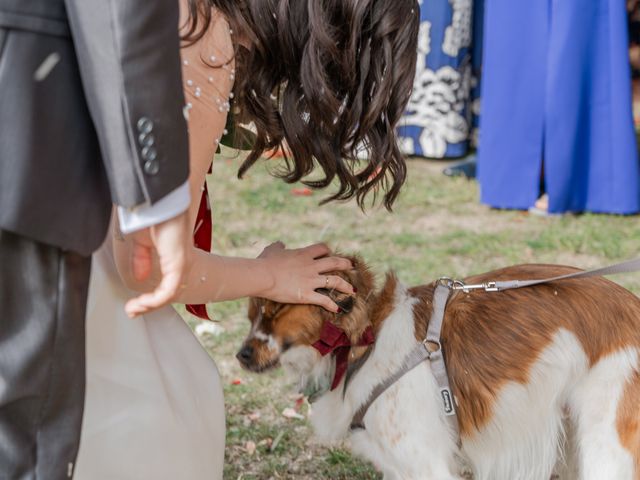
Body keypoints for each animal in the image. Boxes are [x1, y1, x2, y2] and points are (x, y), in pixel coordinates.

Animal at [235, 258, 640, 480]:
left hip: (607, 446)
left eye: (275, 310)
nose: (241, 356)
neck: (364, 342)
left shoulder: (424, 464)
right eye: (253, 313)